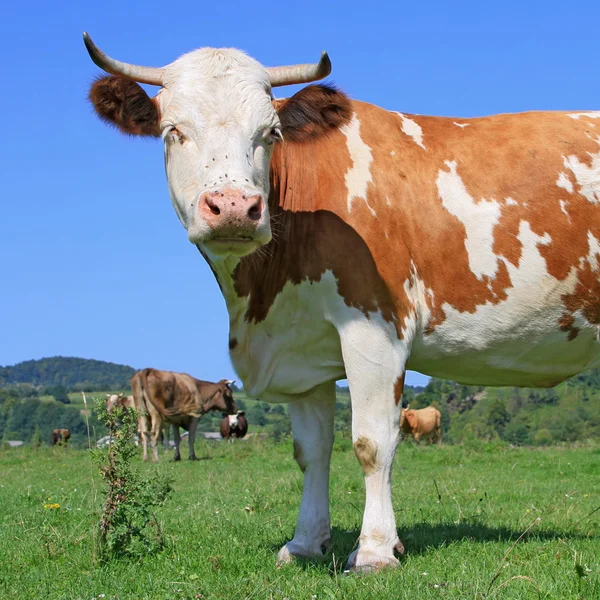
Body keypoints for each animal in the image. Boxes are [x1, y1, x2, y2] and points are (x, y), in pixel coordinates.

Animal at [83, 34, 600, 572]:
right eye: (173, 131)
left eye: (270, 133)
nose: (234, 208)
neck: (261, 299)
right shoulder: (300, 348)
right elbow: (311, 451)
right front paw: (306, 541)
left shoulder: (375, 329)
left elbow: (371, 443)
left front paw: (375, 549)